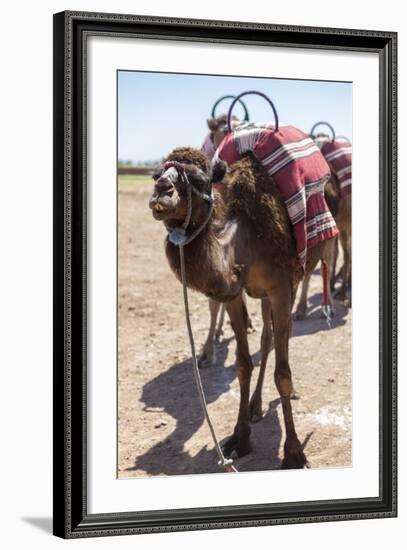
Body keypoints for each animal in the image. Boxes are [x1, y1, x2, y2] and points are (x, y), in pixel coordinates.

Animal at [150, 144, 338, 468]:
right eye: (157, 173)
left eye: (199, 180)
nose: (162, 191)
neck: (246, 237)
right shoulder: (235, 295)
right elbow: (242, 364)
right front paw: (239, 438)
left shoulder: (280, 287)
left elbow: (282, 374)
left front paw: (293, 452)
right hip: (263, 293)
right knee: (267, 338)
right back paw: (255, 406)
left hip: (296, 276)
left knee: (280, 335)